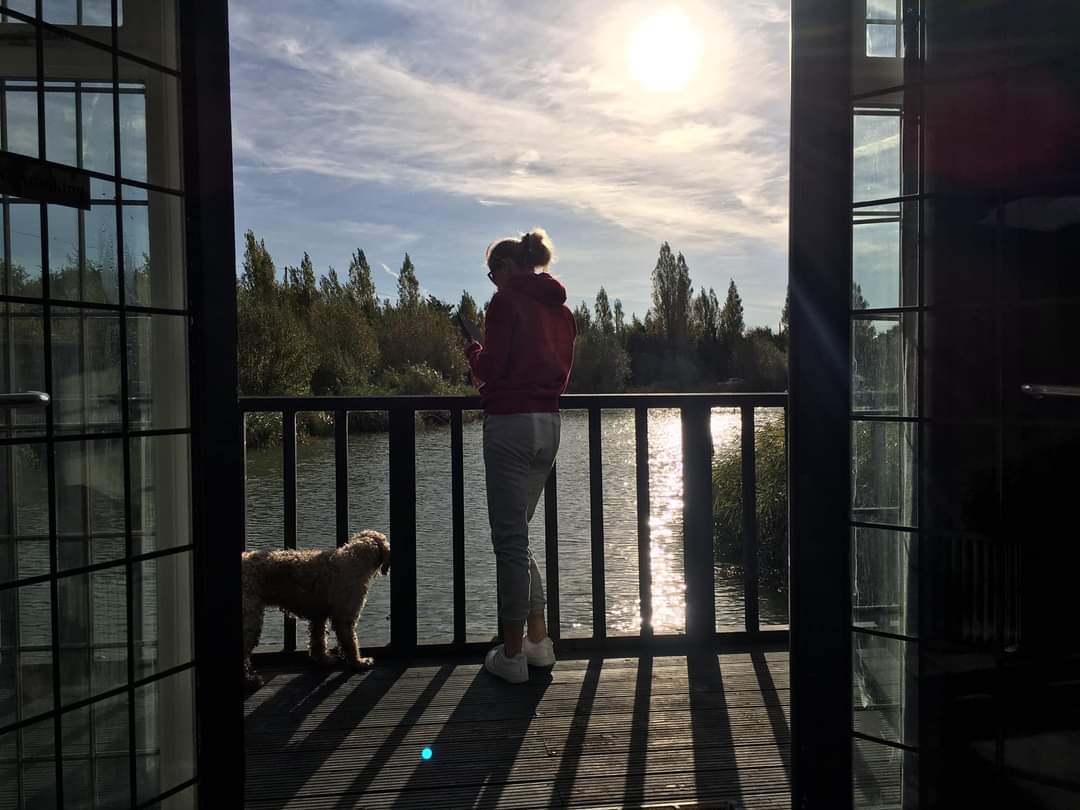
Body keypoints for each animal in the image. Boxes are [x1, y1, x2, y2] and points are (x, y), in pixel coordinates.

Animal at [243, 533, 390, 691]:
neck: (355, 558)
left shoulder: (319, 616)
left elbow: (319, 640)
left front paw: (324, 660)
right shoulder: (345, 616)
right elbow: (351, 643)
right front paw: (359, 662)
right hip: (250, 619)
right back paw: (250, 681)